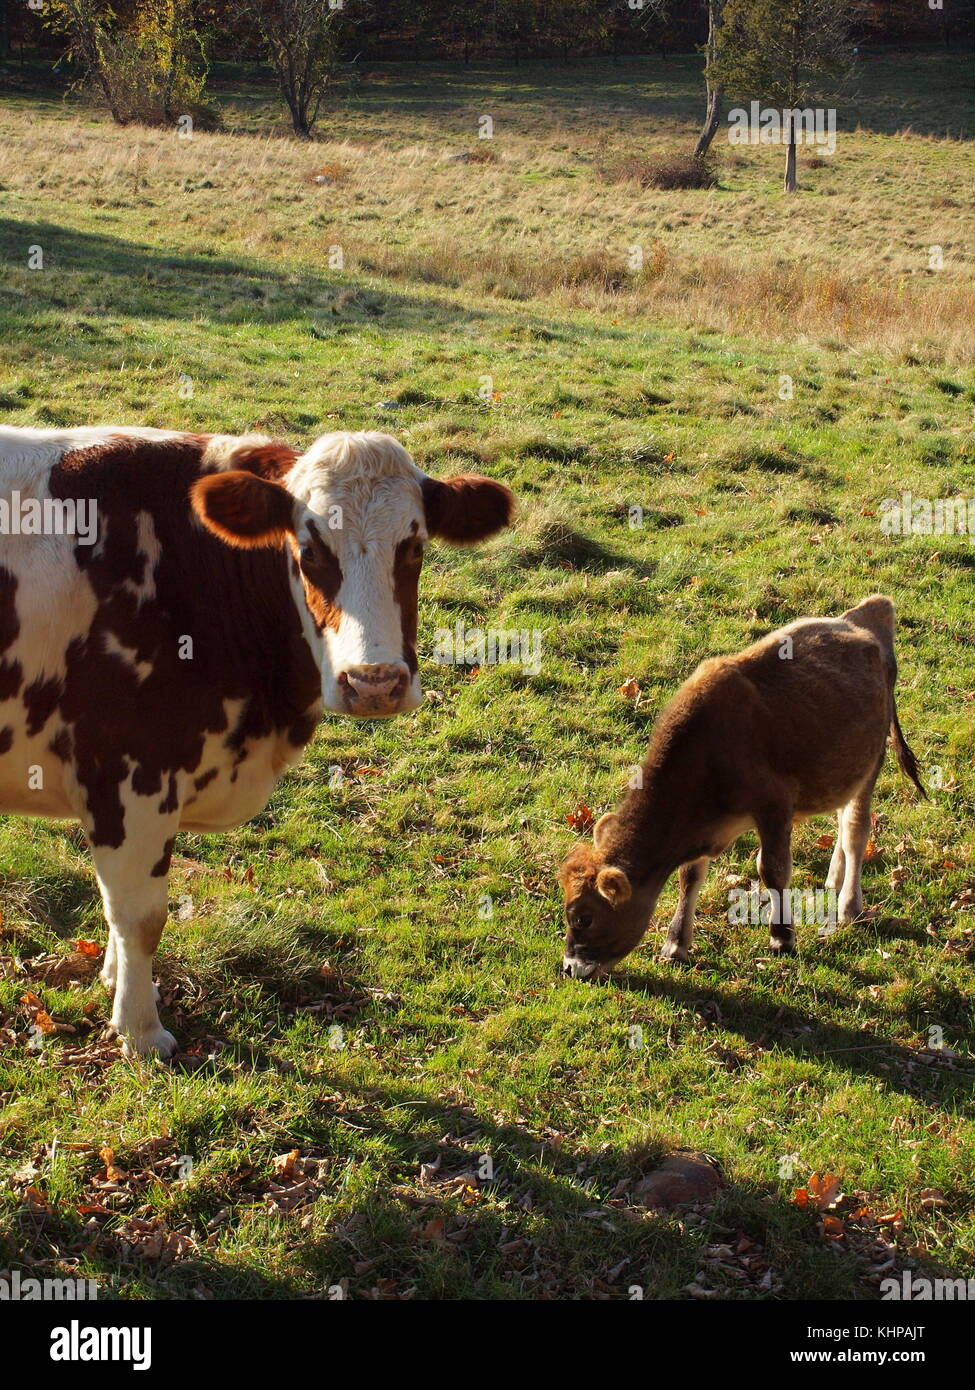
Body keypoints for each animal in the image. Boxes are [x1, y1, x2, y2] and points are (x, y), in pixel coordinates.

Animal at [0, 425, 514, 1057]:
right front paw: (142, 1031)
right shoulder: (128, 772)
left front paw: (118, 982)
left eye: (413, 547)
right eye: (309, 549)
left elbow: (117, 909)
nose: (374, 683)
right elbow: (140, 917)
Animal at [559, 596, 926, 979]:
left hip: (873, 761)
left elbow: (772, 870)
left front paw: (782, 937)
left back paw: (849, 905)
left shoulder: (775, 807)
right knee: (842, 818)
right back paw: (832, 880)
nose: (569, 967)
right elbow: (690, 876)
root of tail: (865, 613)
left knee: (855, 828)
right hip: (843, 767)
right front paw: (676, 943)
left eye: (583, 918)